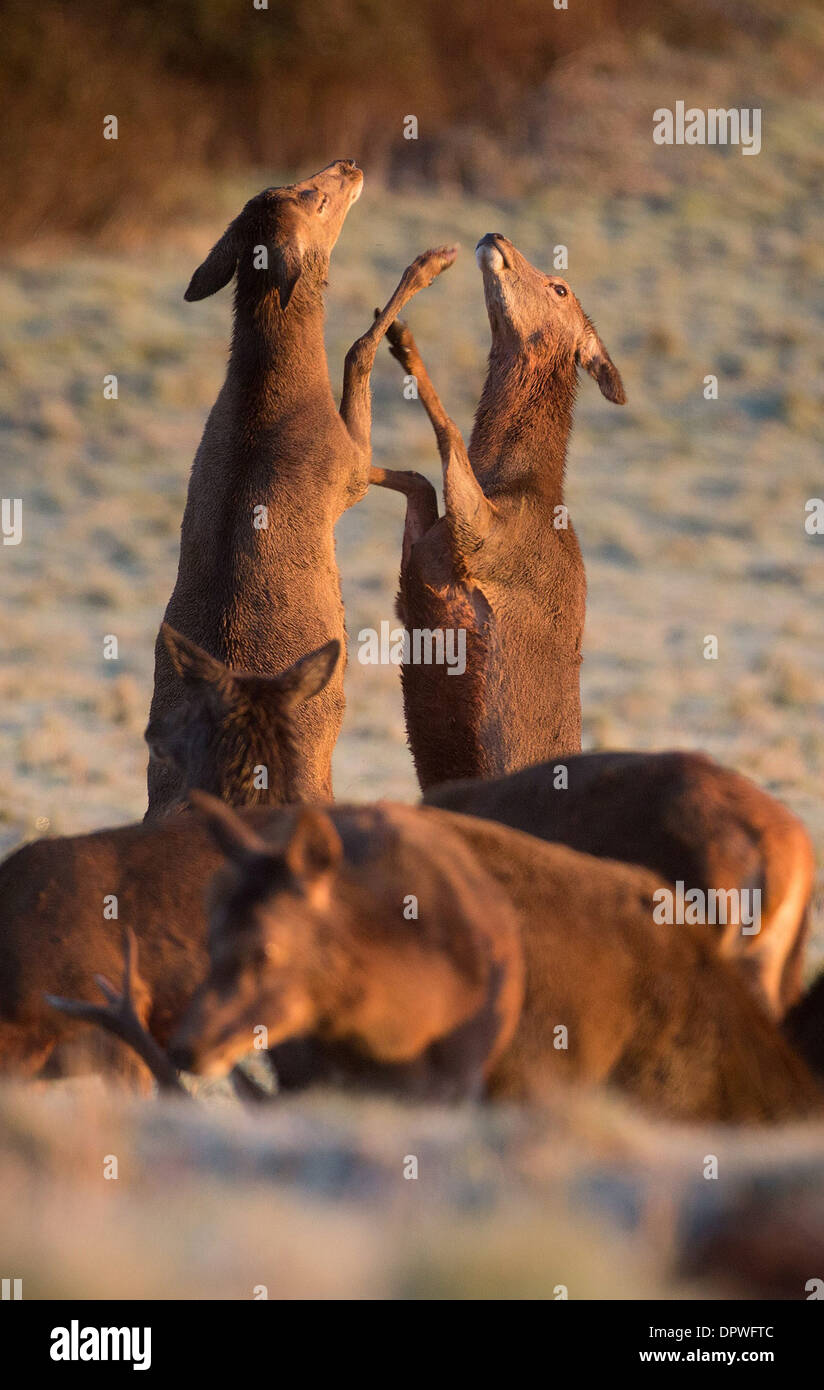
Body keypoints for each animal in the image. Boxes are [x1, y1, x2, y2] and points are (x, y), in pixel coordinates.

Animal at [147, 156, 455, 811]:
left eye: (286, 184)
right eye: (316, 199)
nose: (348, 164)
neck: (264, 394)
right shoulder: (347, 466)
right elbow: (359, 355)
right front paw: (434, 261)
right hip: (316, 779)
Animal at [372, 233, 622, 789]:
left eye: (559, 287)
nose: (495, 238)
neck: (511, 486)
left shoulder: (485, 539)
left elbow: (448, 438)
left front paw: (404, 343)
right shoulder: (424, 556)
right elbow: (419, 480)